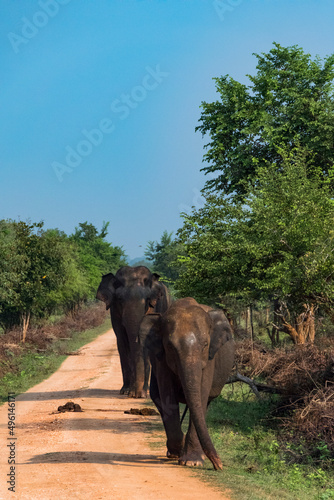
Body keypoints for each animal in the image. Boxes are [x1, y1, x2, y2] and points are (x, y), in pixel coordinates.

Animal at [96, 266, 170, 398]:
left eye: (147, 299)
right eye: (120, 299)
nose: (137, 394)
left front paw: (142, 394)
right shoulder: (115, 313)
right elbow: (122, 342)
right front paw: (126, 391)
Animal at [138, 298, 235, 470]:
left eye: (205, 345)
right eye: (170, 346)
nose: (219, 465)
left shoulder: (209, 360)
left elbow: (201, 395)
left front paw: (192, 461)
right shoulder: (161, 359)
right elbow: (168, 395)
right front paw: (177, 452)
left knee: (205, 404)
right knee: (157, 398)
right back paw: (173, 451)